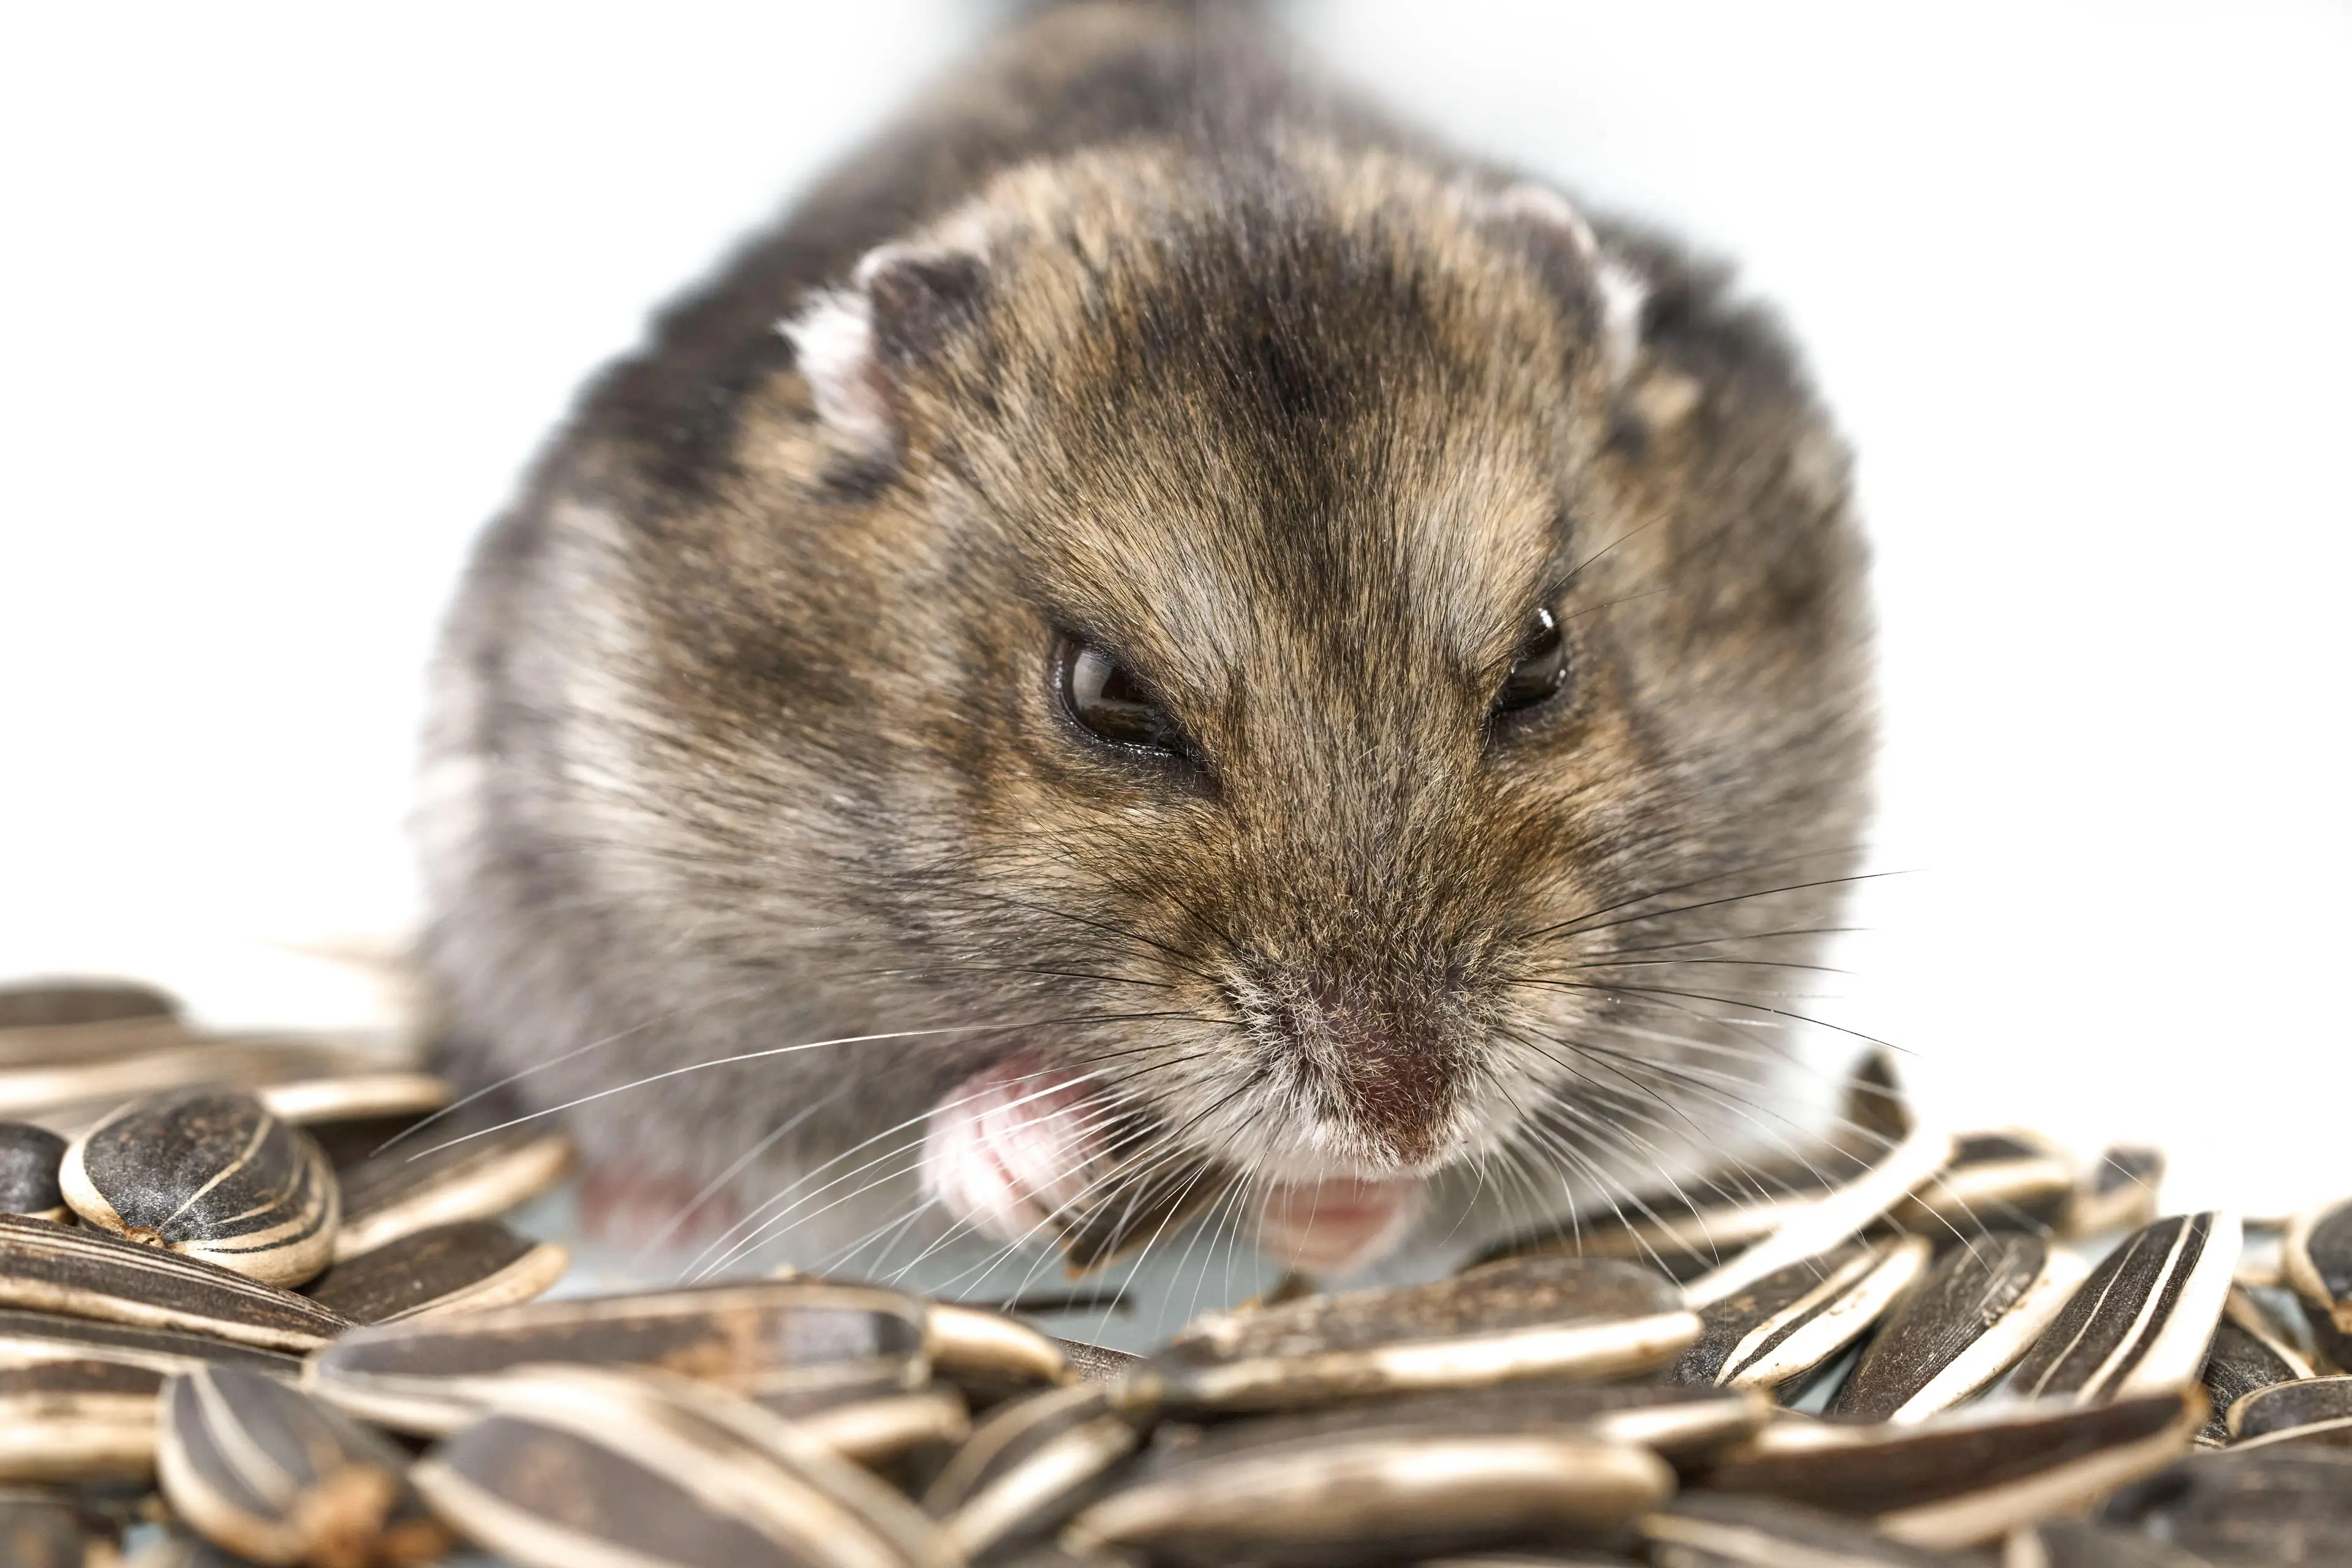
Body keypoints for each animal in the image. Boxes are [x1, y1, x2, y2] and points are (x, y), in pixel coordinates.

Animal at [416, 1, 1873, 1282]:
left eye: (1542, 658)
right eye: (1107, 692)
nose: (1404, 1119)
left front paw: (1336, 1203)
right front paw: (1027, 1145)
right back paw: (645, 1210)